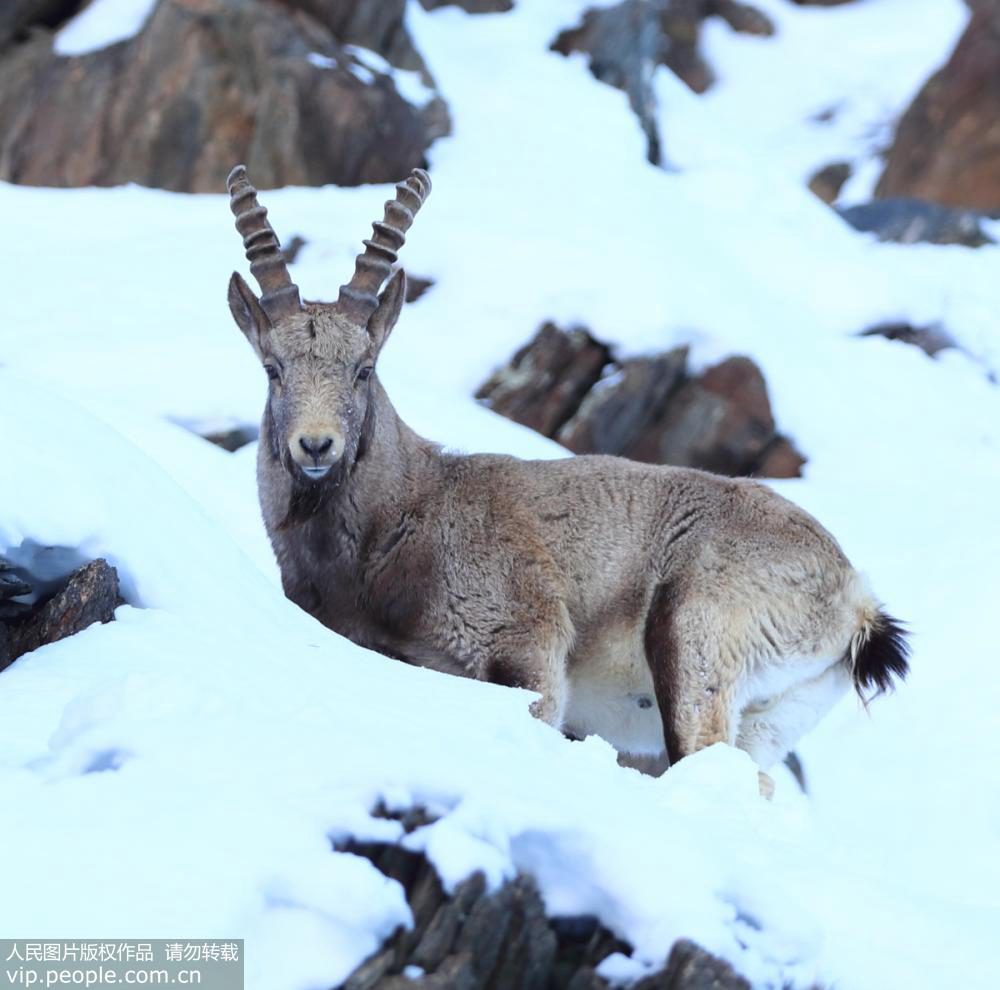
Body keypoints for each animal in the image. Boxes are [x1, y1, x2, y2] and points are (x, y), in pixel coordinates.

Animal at [225, 165, 909, 794]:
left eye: (363, 368)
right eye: (272, 368)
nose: (317, 445)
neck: (404, 516)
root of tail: (856, 601)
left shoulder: (527, 646)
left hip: (695, 639)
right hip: (770, 718)